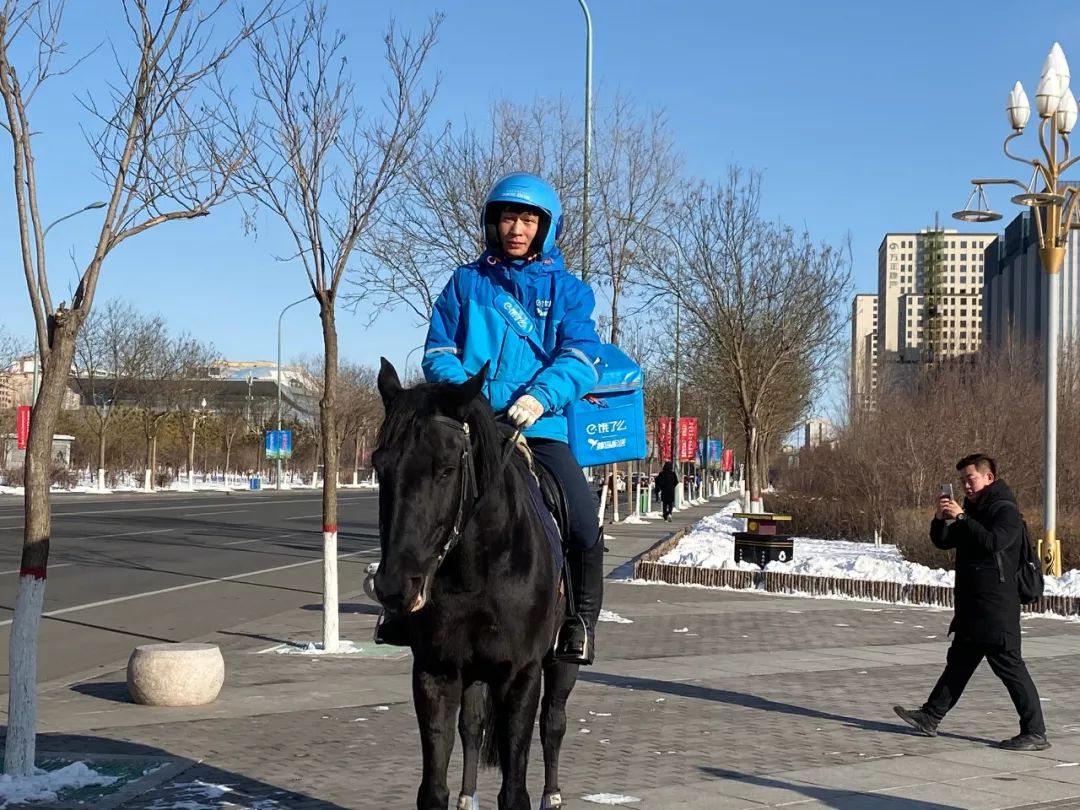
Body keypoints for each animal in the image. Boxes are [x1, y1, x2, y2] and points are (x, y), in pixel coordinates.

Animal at [375, 360, 583, 810]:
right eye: (379, 467)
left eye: (447, 468)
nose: (395, 586)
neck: (476, 574)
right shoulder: (436, 671)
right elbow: (433, 787)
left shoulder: (520, 675)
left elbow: (515, 789)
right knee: (472, 727)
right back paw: (468, 797)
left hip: (562, 663)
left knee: (553, 722)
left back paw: (553, 795)